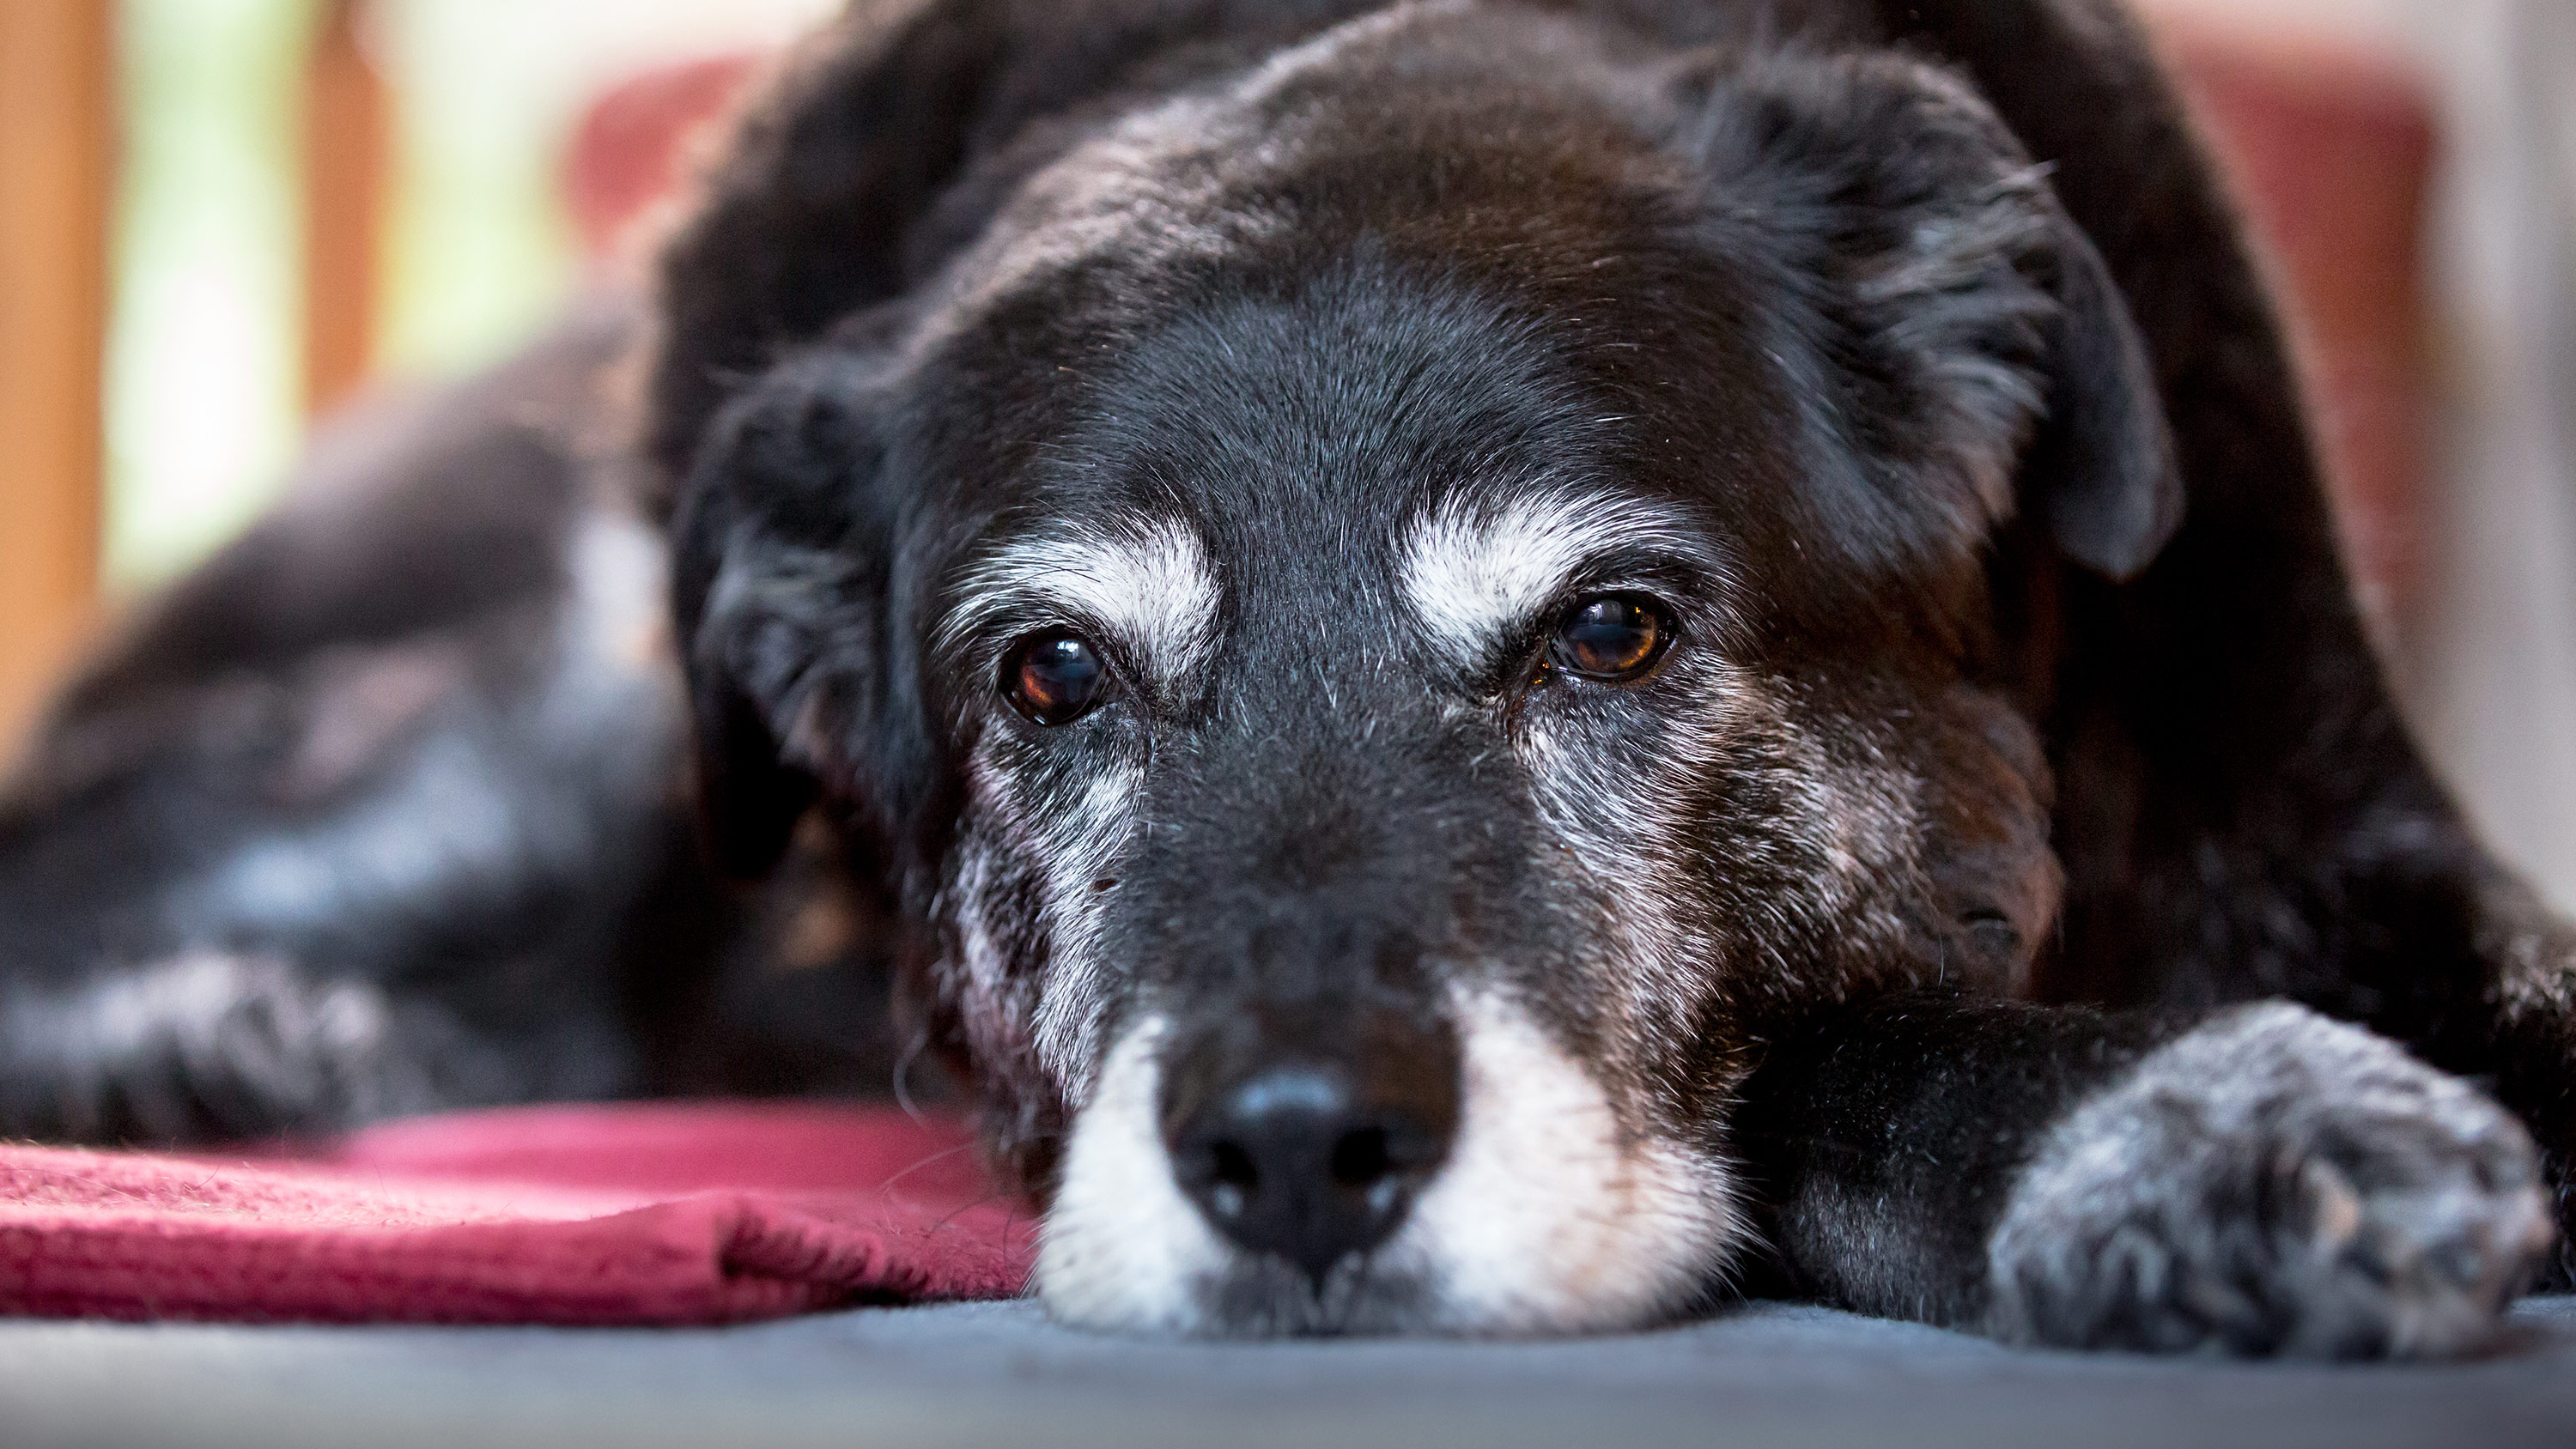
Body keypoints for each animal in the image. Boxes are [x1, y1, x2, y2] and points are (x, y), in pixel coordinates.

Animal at [4, 0, 2576, 1359]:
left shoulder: (2352, 840)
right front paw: (2202, 1122)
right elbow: (1844, 1050)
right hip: (547, 713)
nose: (1296, 1155)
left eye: (1611, 632)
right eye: (1051, 678)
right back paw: (211, 1042)